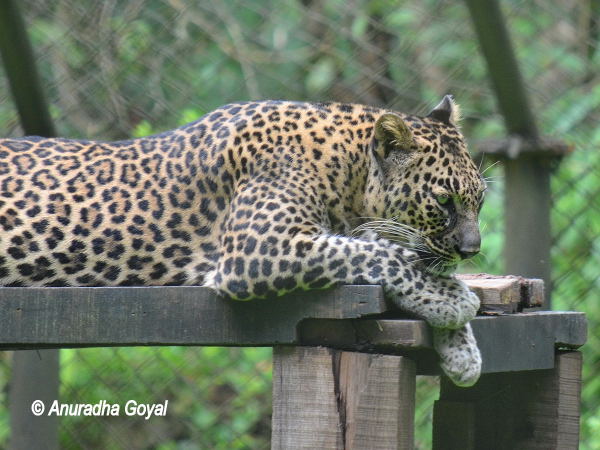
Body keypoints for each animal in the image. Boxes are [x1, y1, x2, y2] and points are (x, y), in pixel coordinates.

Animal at [0, 96, 486, 384]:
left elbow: (390, 249)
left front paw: (462, 351)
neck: (345, 169)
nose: (472, 250)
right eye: (444, 201)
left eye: (479, 199)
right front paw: (451, 301)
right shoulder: (261, 248)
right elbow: (378, 252)